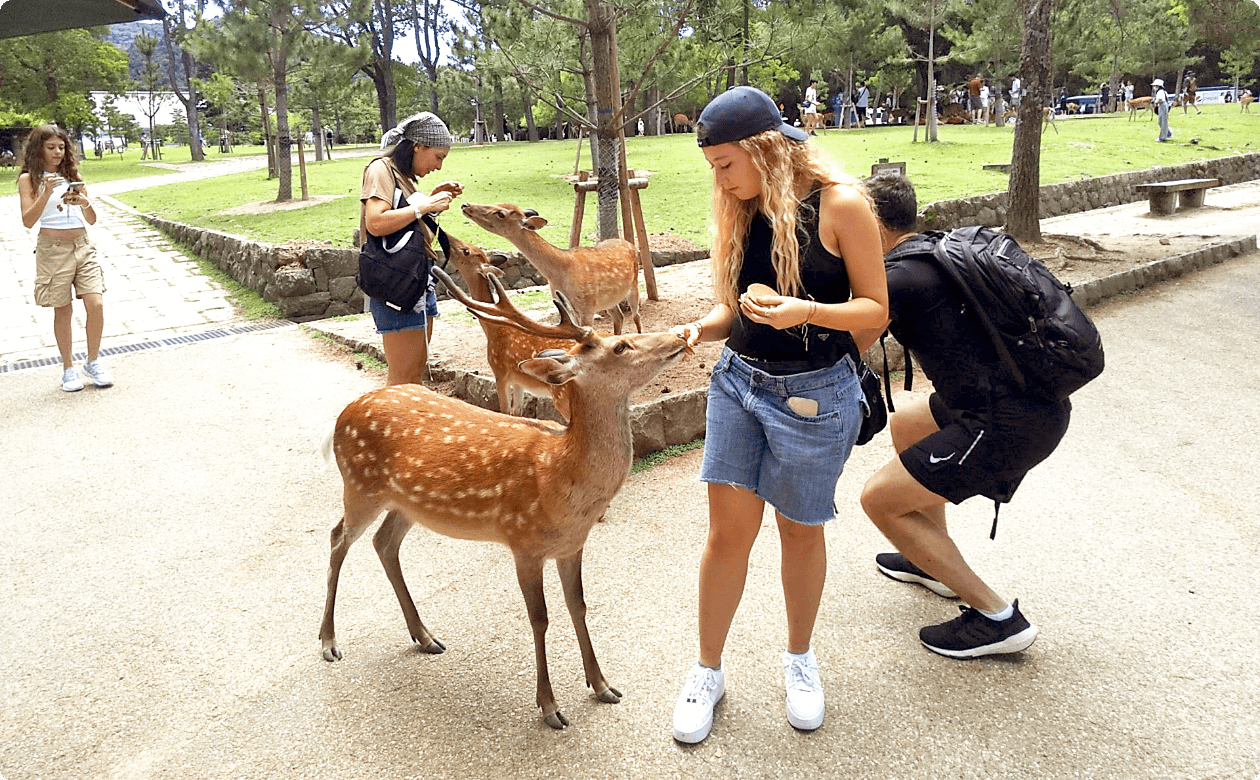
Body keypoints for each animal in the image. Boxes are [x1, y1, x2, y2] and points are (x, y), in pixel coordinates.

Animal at [315, 269, 690, 730]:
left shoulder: (572, 545)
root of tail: (342, 416)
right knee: (337, 538)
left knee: (383, 543)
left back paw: (425, 636)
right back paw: (329, 641)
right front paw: (549, 706)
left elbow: (579, 606)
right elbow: (539, 618)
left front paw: (603, 685)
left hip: (405, 504)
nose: (679, 335)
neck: (560, 480)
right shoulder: (523, 541)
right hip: (360, 485)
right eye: (621, 346)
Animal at [433, 225, 572, 420]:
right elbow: (517, 413)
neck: (493, 329)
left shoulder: (500, 373)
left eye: (466, 251)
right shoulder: (519, 381)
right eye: (471, 247)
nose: (443, 234)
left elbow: (505, 411)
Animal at [461, 201, 640, 335]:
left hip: (634, 285)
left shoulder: (587, 306)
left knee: (635, 316)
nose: (465, 205)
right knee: (619, 317)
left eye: (500, 213)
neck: (558, 274)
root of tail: (629, 243)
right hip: (609, 300)